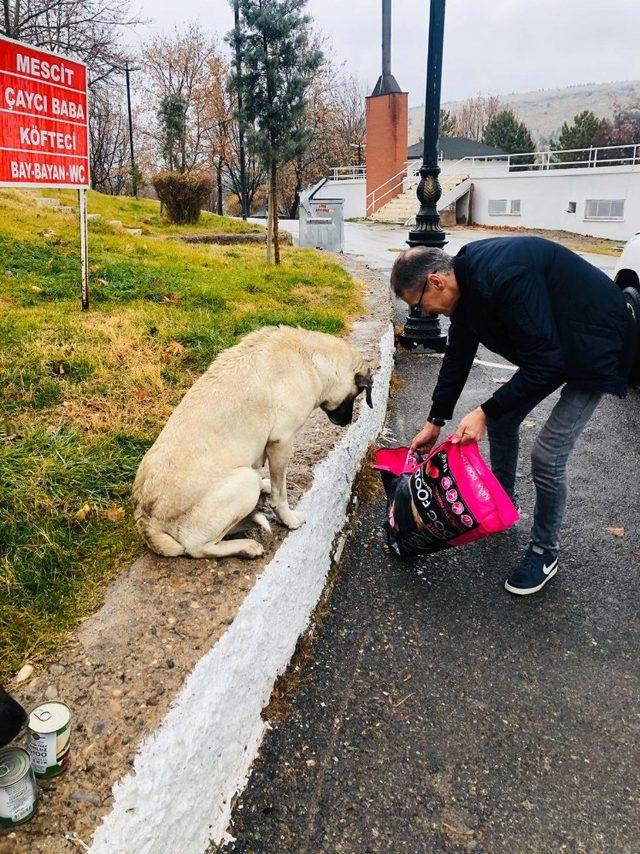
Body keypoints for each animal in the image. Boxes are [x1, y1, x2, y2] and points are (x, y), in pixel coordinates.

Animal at [134, 328, 376, 560]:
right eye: (356, 395)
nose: (347, 422)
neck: (310, 358)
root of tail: (147, 523)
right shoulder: (281, 443)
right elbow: (280, 494)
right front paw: (288, 519)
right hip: (243, 481)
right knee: (197, 548)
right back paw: (246, 546)